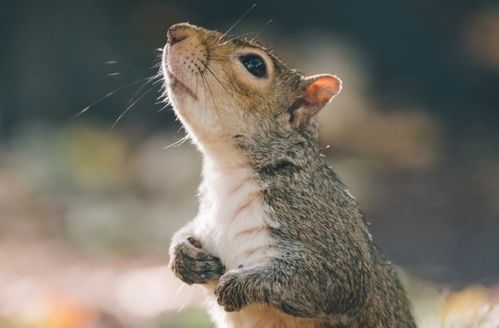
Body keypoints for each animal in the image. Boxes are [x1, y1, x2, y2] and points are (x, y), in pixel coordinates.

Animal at [161, 23, 418, 328]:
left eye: (255, 64)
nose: (175, 32)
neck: (229, 172)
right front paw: (183, 256)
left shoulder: (325, 228)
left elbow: (332, 283)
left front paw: (237, 285)